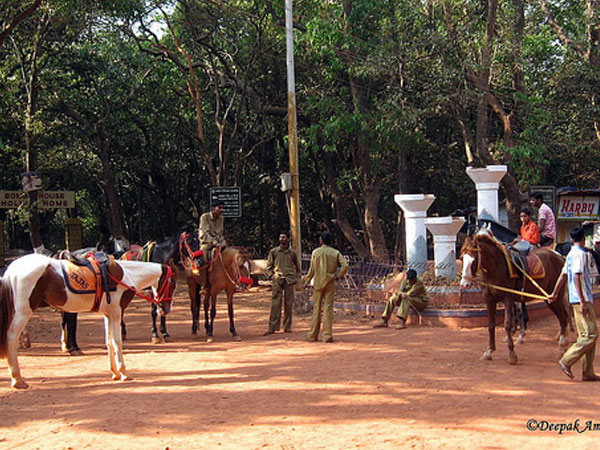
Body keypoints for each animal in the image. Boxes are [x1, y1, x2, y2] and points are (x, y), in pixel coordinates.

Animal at [0, 253, 176, 389]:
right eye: (172, 283)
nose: (165, 310)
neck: (127, 275)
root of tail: (12, 268)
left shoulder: (107, 313)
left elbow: (108, 342)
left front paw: (114, 373)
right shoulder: (116, 312)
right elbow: (117, 342)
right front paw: (124, 372)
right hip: (23, 311)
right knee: (11, 338)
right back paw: (17, 379)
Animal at [459, 225, 569, 365]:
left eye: (474, 261)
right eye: (462, 258)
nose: (464, 284)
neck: (496, 267)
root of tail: (560, 257)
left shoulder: (508, 298)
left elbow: (507, 324)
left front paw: (512, 354)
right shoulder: (489, 299)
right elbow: (491, 325)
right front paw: (489, 351)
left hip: (556, 296)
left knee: (564, 318)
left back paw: (562, 347)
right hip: (549, 298)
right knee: (563, 317)